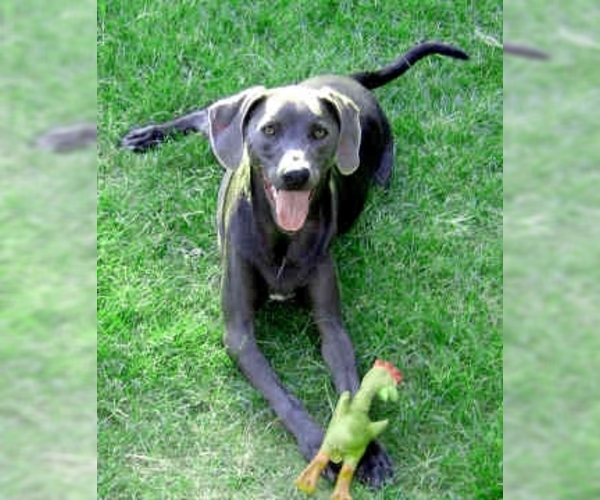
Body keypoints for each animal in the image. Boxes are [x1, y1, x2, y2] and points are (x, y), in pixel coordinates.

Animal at [120, 41, 468, 486]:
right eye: (269, 130)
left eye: (320, 132)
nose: (296, 175)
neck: (283, 239)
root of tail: (348, 79)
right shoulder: (239, 334)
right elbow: (282, 395)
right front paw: (316, 441)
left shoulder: (332, 325)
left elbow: (351, 388)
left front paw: (366, 449)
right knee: (205, 117)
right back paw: (149, 134)